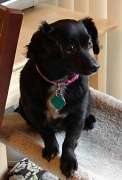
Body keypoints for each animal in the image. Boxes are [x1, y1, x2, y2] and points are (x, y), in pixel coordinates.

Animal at [16, 17, 99, 178]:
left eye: (89, 44)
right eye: (70, 48)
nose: (96, 66)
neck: (58, 83)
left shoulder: (78, 113)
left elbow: (70, 139)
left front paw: (68, 161)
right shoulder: (32, 111)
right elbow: (46, 130)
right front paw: (51, 148)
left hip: (88, 98)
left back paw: (90, 121)